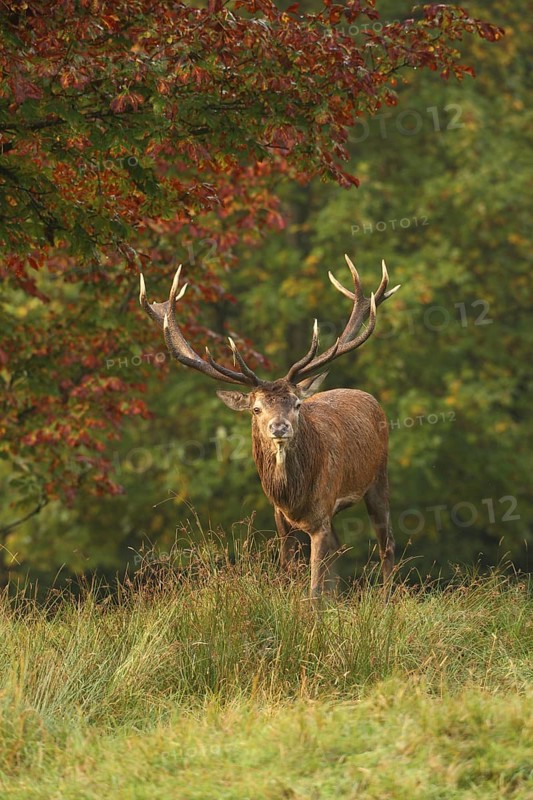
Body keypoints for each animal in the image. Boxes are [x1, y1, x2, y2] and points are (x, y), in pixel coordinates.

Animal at [139, 255, 400, 597]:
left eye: (297, 404)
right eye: (256, 408)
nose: (279, 428)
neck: (293, 495)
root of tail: (369, 398)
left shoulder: (321, 510)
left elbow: (313, 587)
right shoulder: (280, 517)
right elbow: (290, 572)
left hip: (379, 476)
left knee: (387, 545)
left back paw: (387, 599)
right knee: (340, 550)